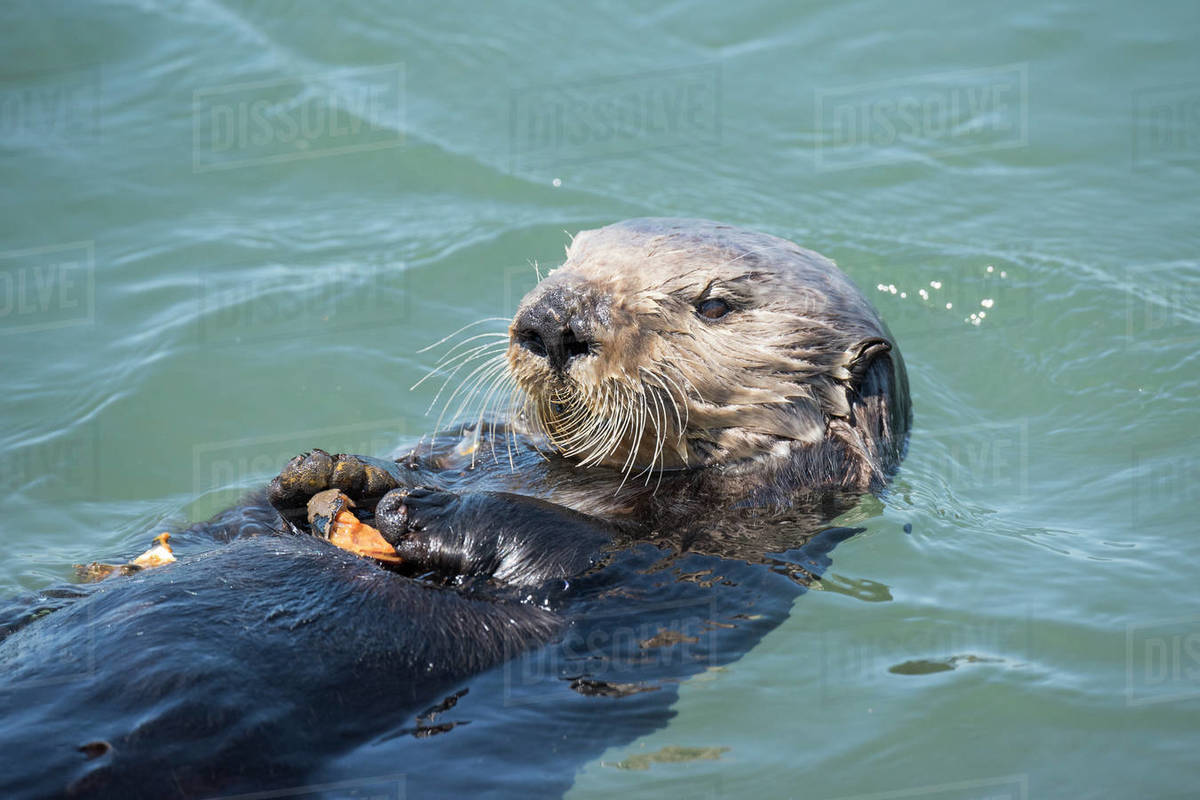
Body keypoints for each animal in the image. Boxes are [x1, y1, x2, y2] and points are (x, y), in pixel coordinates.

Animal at [0, 219, 909, 799]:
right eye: (568, 260)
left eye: (715, 305)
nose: (553, 323)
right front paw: (332, 476)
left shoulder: (718, 562)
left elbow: (572, 559)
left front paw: (427, 514)